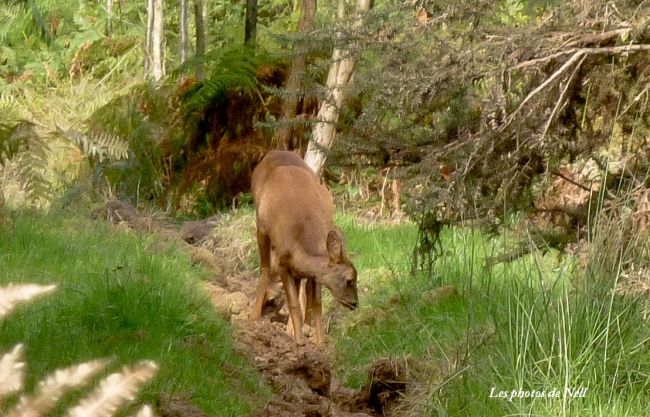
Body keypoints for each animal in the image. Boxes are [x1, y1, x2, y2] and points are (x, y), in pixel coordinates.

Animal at [249, 150, 360, 344]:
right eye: (349, 280)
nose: (354, 303)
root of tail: (273, 152)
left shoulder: (313, 273)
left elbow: (316, 303)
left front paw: (320, 341)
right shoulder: (282, 263)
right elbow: (293, 303)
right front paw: (299, 341)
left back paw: (296, 328)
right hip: (260, 227)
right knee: (265, 269)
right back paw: (255, 318)